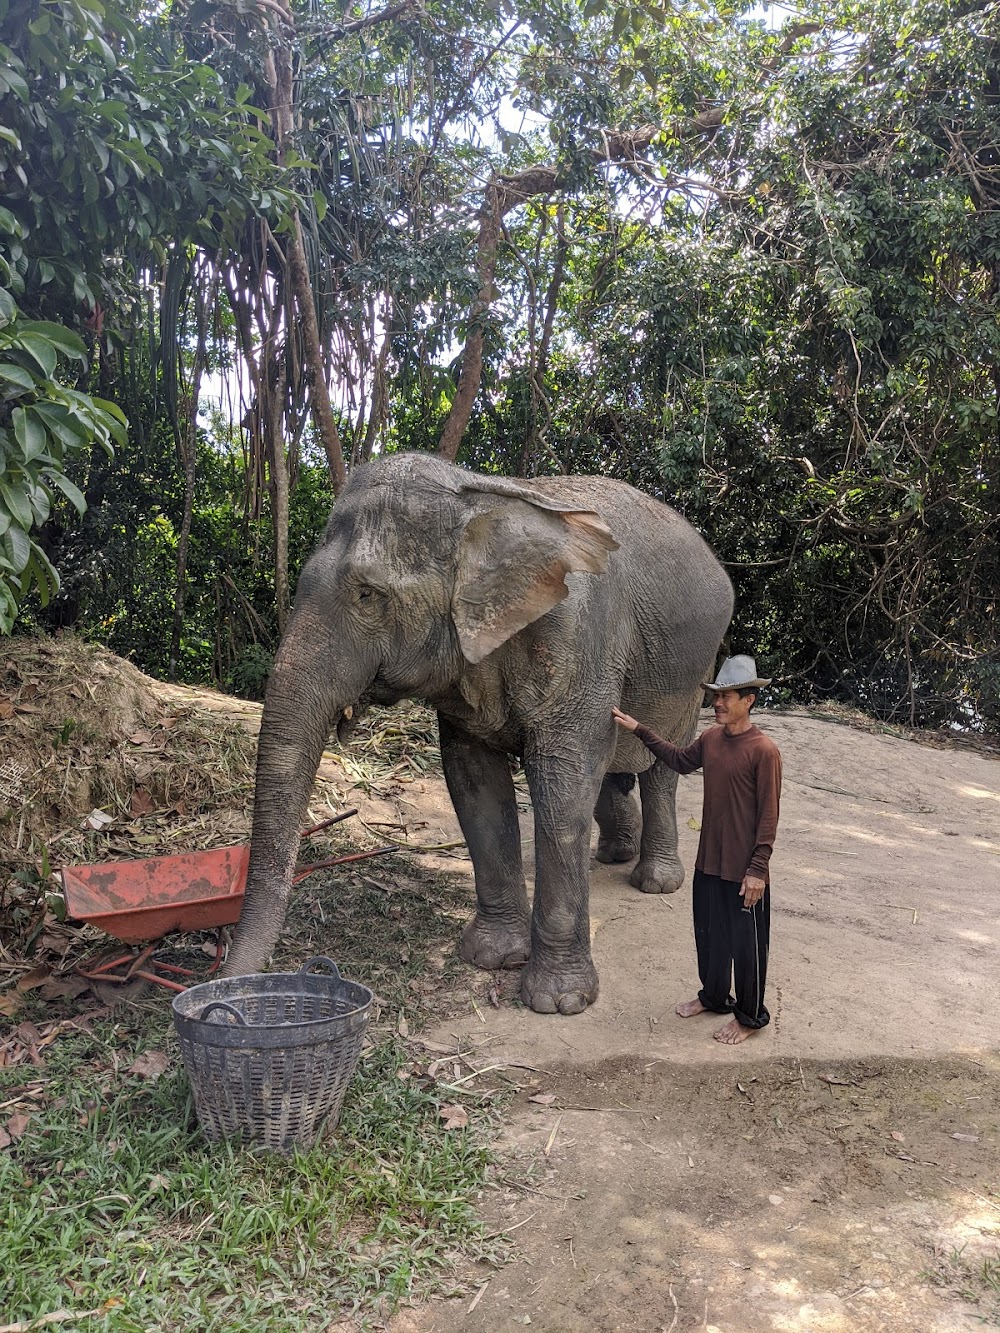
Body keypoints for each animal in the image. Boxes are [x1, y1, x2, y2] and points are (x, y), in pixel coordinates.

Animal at [222, 453, 730, 1013]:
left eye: (367, 595)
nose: (221, 982)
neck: (481, 495)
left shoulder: (581, 641)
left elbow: (564, 780)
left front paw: (558, 1002)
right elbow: (474, 780)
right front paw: (491, 957)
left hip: (696, 669)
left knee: (662, 765)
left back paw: (655, 881)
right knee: (617, 765)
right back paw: (614, 855)